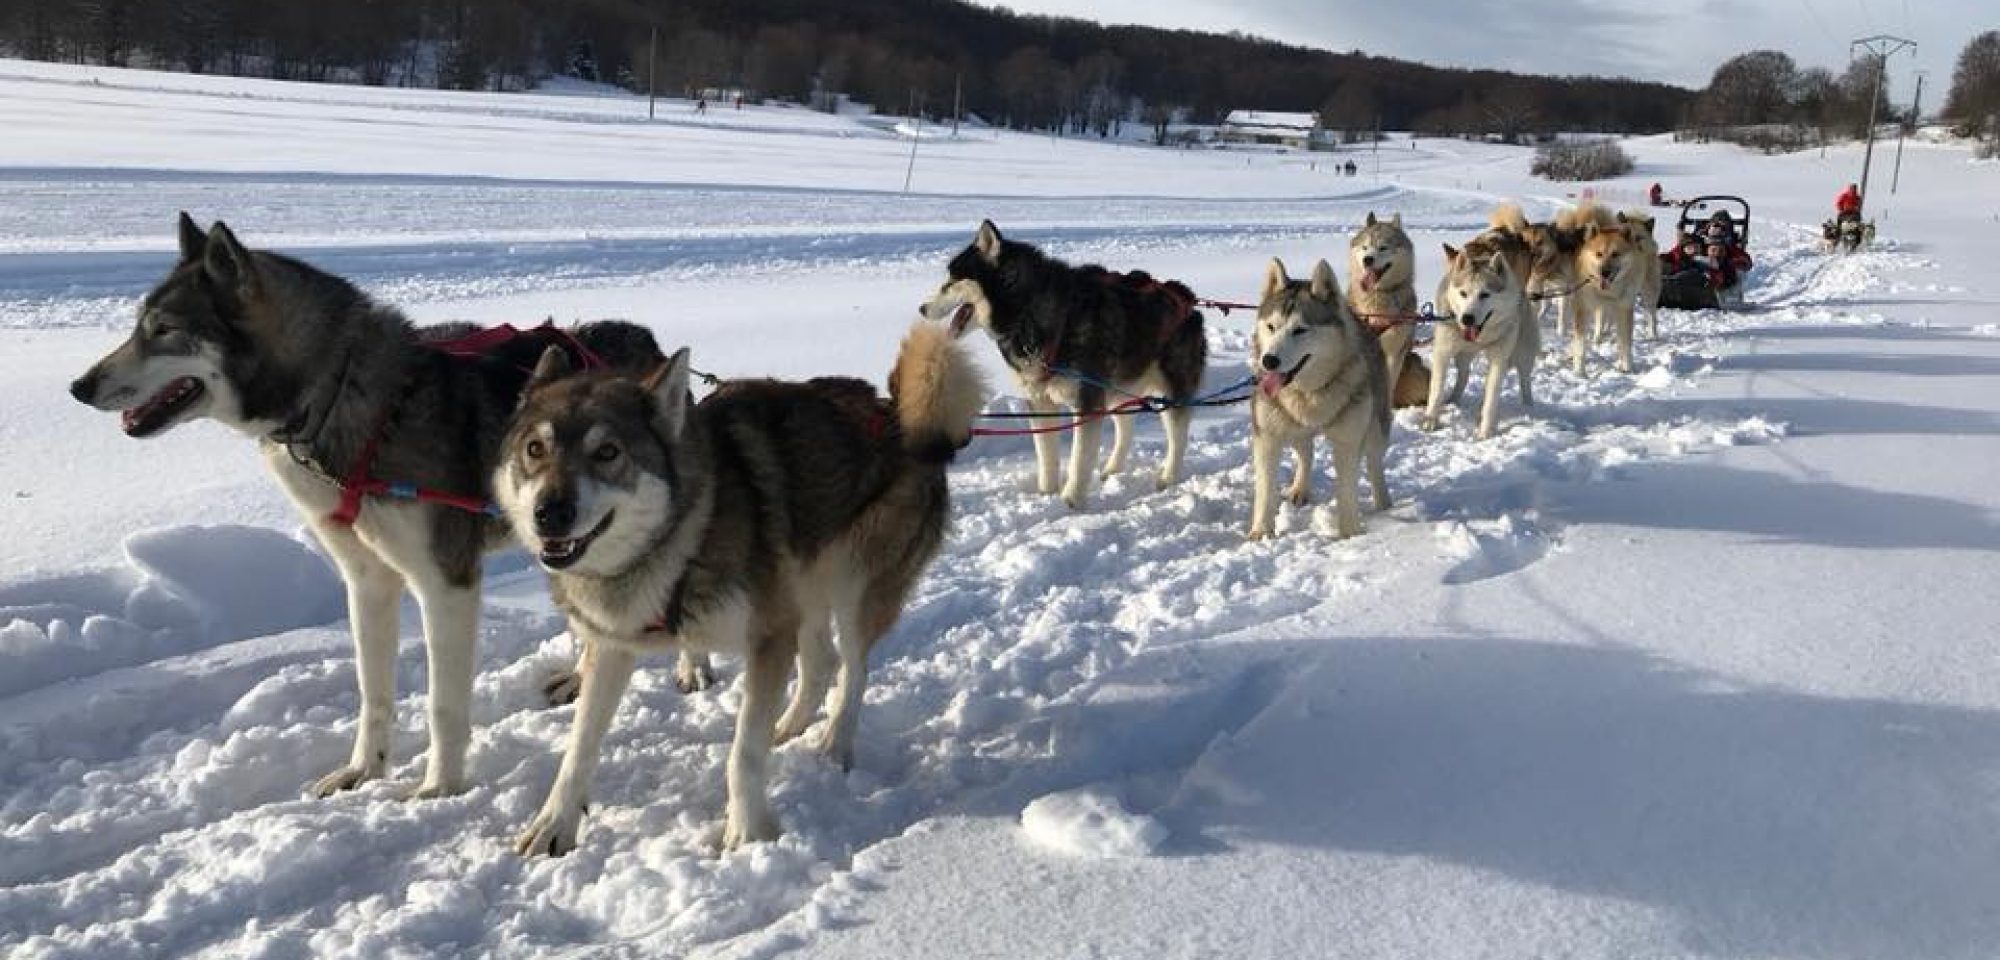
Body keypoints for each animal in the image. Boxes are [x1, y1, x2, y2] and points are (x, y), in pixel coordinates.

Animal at [66, 214, 681, 801]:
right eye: (138, 326)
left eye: (164, 330)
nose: (79, 386)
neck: (342, 398)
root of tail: (645, 339)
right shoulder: (368, 580)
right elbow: (373, 690)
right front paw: (363, 771)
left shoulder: (446, 584)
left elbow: (443, 704)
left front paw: (439, 789)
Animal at [496, 322, 985, 855]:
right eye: (535, 450)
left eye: (608, 453)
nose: (550, 513)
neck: (682, 540)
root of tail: (896, 413)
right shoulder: (612, 647)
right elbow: (578, 749)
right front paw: (554, 824)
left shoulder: (768, 638)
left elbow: (743, 752)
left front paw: (748, 833)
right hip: (804, 591)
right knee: (821, 664)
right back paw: (788, 728)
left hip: (854, 590)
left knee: (853, 671)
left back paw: (833, 743)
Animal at [920, 220, 1206, 508]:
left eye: (952, 282)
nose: (922, 308)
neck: (1027, 314)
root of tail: (1188, 299)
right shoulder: (1039, 402)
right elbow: (1046, 454)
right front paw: (1046, 494)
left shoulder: (1087, 402)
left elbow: (1080, 457)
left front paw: (1071, 500)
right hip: (1115, 392)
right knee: (1125, 428)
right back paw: (1112, 470)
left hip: (1169, 392)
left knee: (1178, 436)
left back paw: (1168, 477)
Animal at [1247, 258, 1391, 540]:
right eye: (1271, 326)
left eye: (1300, 330)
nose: (1269, 361)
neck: (1310, 393)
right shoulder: (1267, 438)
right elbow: (1265, 491)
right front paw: (1261, 533)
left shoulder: (1348, 441)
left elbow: (1346, 491)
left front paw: (1350, 534)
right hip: (1294, 431)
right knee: (1306, 453)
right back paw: (1299, 489)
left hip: (1374, 427)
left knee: (1374, 464)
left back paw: (1384, 505)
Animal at [1425, 234, 1539, 440]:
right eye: (1463, 293)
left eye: (1485, 294)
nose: (1467, 318)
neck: (1480, 337)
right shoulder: (1443, 353)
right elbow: (1436, 390)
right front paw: (1430, 420)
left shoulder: (1498, 360)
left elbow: (1491, 398)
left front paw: (1485, 431)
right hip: (1461, 355)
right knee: (1464, 376)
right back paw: (1453, 400)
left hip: (1523, 354)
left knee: (1525, 380)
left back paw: (1528, 408)